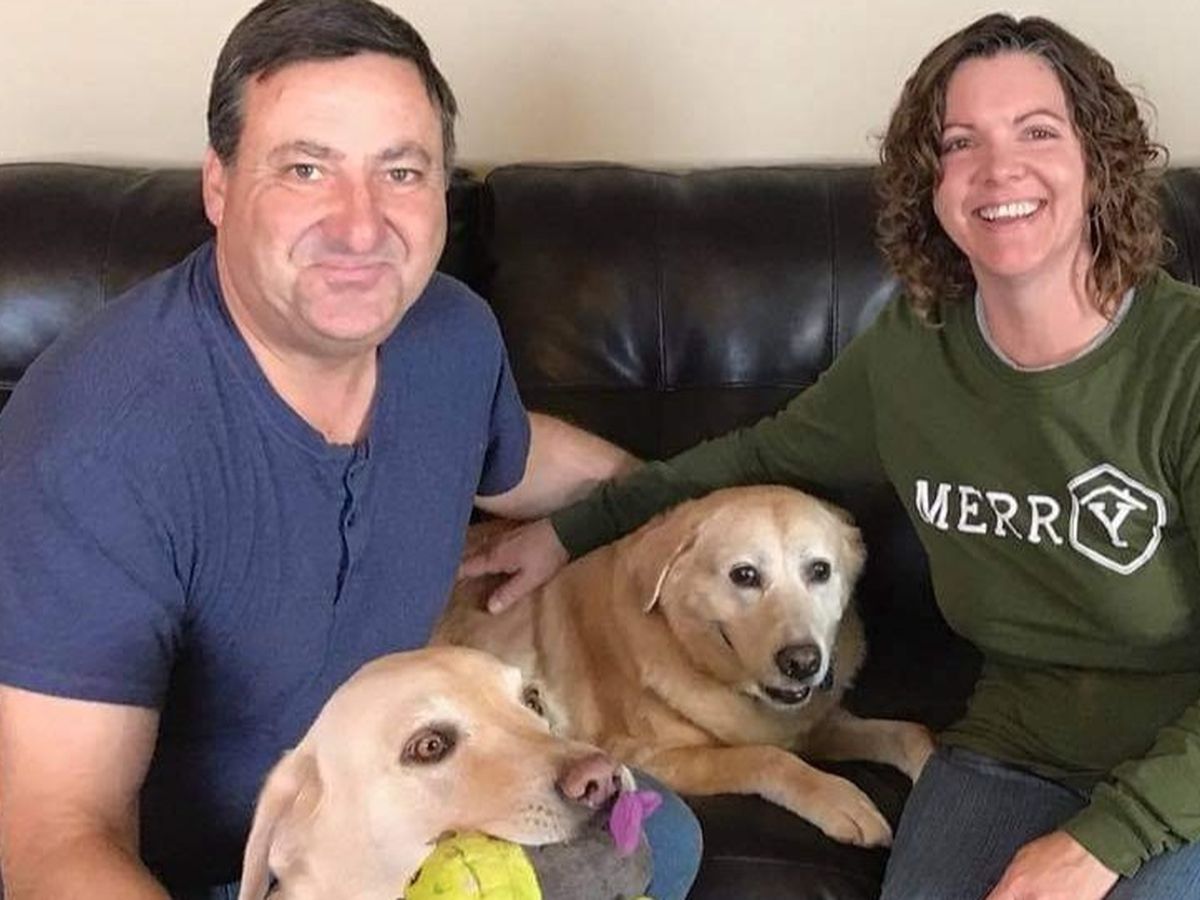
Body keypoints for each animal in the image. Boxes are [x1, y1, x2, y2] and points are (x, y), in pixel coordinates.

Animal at [436, 485, 933, 847]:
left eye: (820, 570)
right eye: (744, 575)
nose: (803, 662)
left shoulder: (815, 724)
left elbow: (909, 732)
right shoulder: (647, 756)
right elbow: (767, 757)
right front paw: (839, 798)